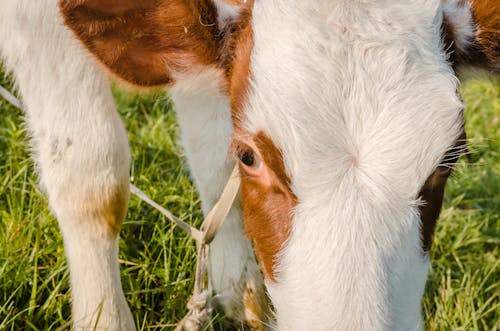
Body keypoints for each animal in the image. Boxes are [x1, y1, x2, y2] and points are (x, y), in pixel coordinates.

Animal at [0, 0, 498, 330]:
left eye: (446, 163)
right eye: (251, 157)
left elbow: (210, 150)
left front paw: (239, 290)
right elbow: (93, 175)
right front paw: (103, 318)